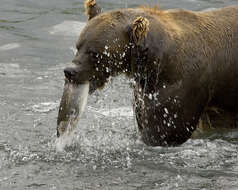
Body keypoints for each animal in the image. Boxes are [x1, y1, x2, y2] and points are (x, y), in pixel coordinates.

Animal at [56, 0, 238, 146]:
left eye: (95, 53)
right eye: (78, 46)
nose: (70, 71)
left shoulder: (183, 86)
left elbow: (165, 130)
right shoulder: (145, 90)